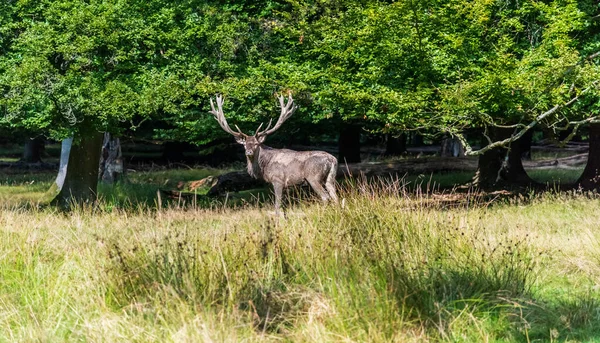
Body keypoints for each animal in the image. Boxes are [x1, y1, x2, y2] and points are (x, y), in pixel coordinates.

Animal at [210, 92, 338, 214]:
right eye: (244, 144)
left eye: (256, 144)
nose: (248, 152)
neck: (264, 166)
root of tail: (332, 160)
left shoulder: (278, 180)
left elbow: (277, 205)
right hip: (330, 178)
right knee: (335, 197)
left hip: (313, 177)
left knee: (326, 197)